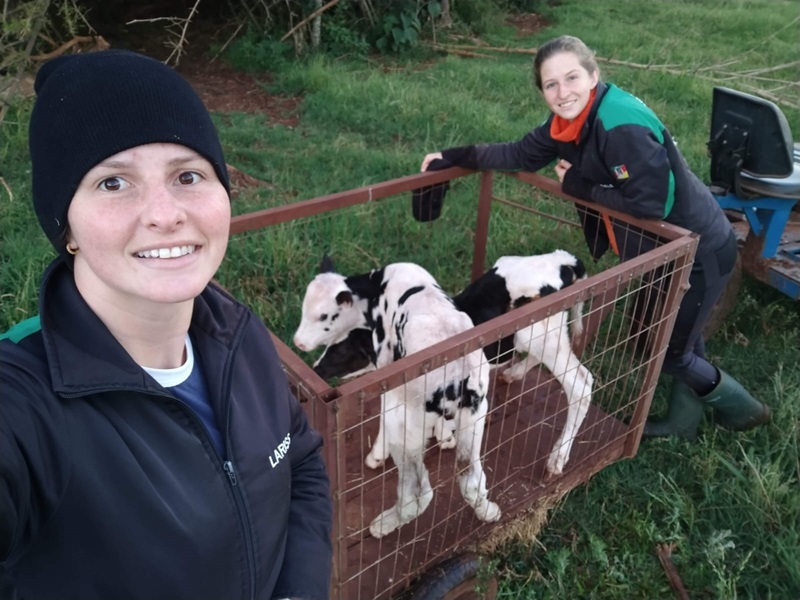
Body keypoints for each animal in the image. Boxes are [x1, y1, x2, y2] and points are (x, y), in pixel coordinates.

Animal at [294, 258, 500, 540]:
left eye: (323, 316)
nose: (298, 343)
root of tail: (459, 378)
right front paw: (445, 436)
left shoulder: (387, 368)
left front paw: (376, 455)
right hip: (475, 418)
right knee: (471, 479)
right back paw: (489, 512)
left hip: (405, 429)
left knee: (418, 492)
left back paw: (383, 525)